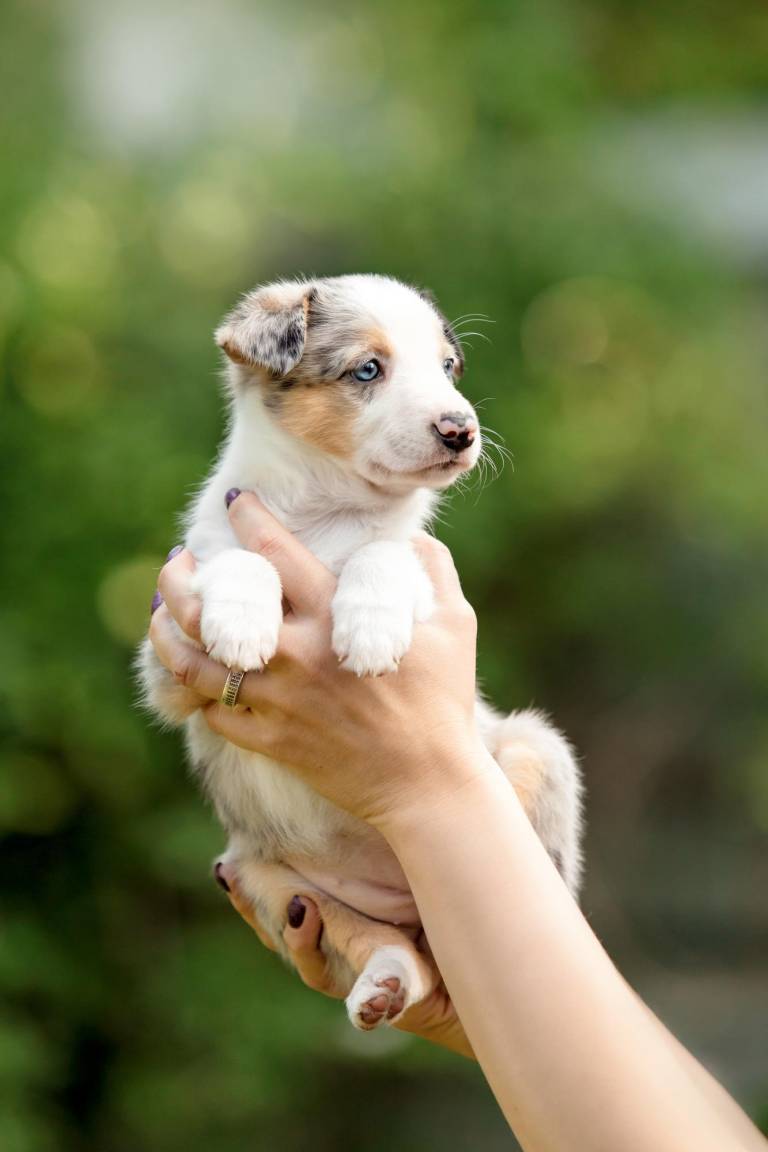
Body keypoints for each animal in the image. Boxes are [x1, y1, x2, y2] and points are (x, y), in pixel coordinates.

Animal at [138, 274, 582, 1032]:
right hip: (268, 878)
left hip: (534, 753)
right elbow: (238, 560)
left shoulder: (428, 583)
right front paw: (242, 624)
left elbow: (384, 552)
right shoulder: (167, 655)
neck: (325, 516)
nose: (461, 430)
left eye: (447, 367)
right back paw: (385, 984)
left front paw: (368, 633)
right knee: (386, 946)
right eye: (368, 370)